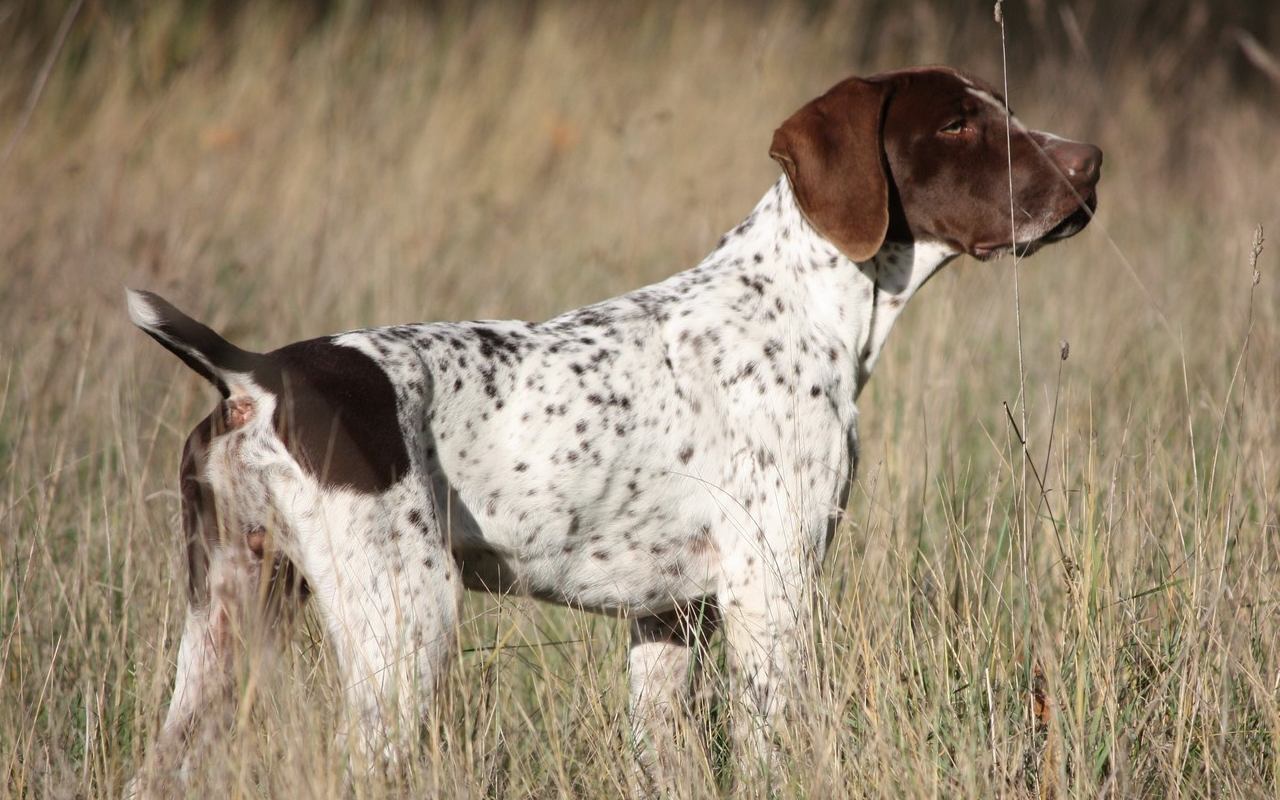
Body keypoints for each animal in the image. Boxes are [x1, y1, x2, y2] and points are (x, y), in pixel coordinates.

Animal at [124, 67, 1100, 788]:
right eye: (958, 126)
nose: (1091, 163)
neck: (797, 305)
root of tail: (258, 376)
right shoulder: (769, 590)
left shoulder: (669, 620)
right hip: (405, 625)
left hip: (224, 623)